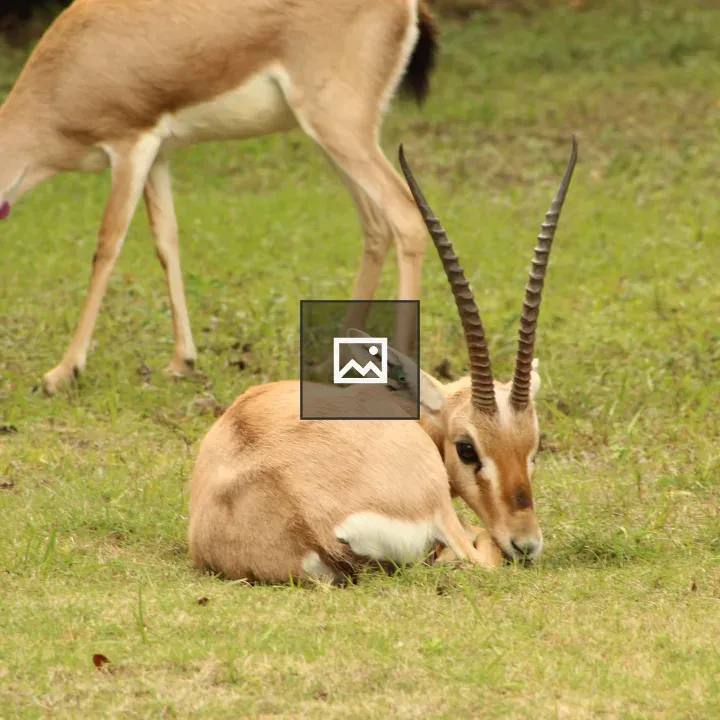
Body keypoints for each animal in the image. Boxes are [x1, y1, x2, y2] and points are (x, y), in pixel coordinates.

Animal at [0, 0, 437, 395]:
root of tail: (407, 7)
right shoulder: (158, 154)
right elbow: (166, 242)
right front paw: (182, 361)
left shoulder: (130, 146)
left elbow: (107, 246)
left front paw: (62, 372)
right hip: (332, 138)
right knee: (376, 226)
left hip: (340, 128)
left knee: (405, 217)